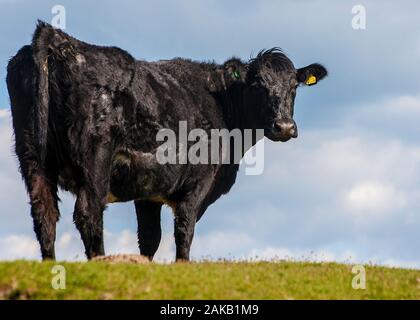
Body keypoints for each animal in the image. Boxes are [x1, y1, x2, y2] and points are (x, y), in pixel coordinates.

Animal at [7, 21, 328, 262]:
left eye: (294, 86)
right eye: (258, 85)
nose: (284, 126)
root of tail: (58, 38)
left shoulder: (147, 190)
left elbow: (149, 239)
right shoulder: (196, 184)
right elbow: (184, 232)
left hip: (31, 154)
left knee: (44, 213)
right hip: (94, 156)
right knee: (88, 212)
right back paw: (100, 262)